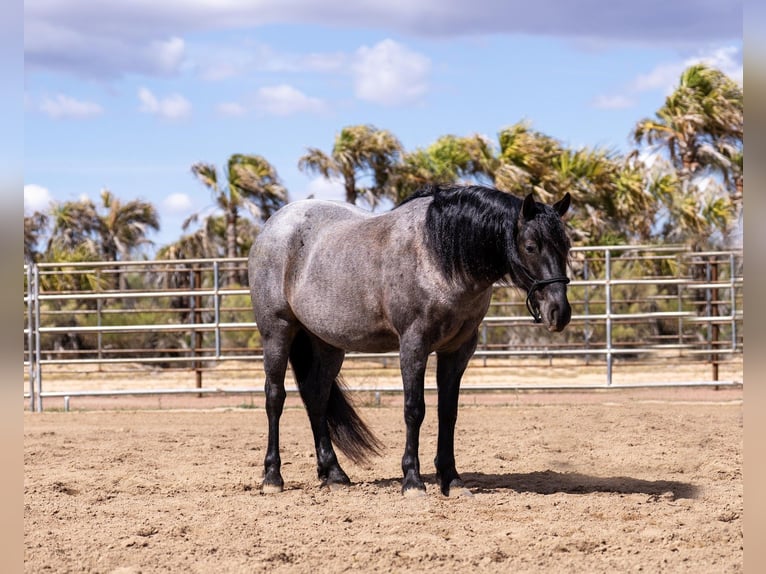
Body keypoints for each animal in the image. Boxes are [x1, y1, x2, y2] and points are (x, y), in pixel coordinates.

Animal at [247, 183, 572, 497]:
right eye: (531, 247)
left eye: (566, 246)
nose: (559, 312)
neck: (438, 255)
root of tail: (272, 226)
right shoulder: (413, 345)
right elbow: (414, 409)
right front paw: (413, 481)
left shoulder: (458, 350)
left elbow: (448, 412)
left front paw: (451, 479)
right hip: (277, 332)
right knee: (275, 397)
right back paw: (273, 477)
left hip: (327, 343)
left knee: (316, 397)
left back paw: (334, 475)